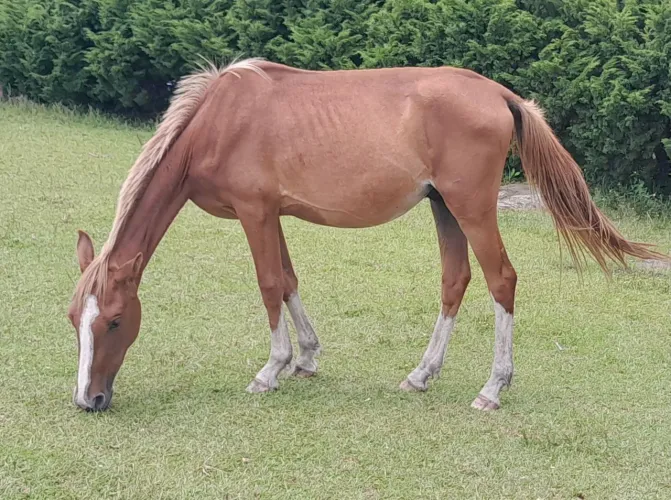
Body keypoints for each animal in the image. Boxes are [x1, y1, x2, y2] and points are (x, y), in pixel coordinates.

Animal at [68, 58, 667, 412]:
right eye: (75, 321)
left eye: (116, 320)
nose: (88, 399)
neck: (219, 121)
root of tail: (498, 93)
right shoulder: (274, 215)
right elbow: (289, 279)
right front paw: (306, 358)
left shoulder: (255, 213)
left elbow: (268, 283)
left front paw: (271, 369)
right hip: (445, 208)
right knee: (455, 280)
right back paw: (421, 375)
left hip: (472, 208)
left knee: (502, 279)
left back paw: (493, 388)